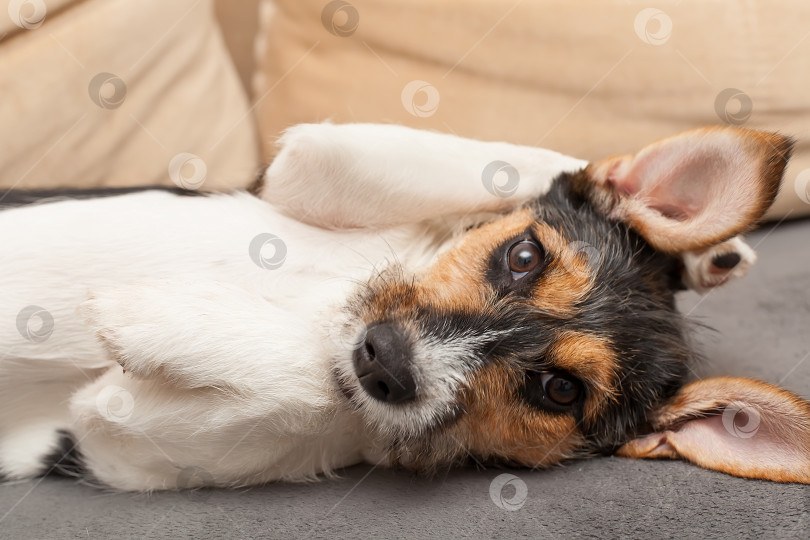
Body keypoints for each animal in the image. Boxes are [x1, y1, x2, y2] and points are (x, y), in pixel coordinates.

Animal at [0, 123, 804, 490]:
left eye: (559, 390)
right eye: (523, 258)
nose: (381, 357)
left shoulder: (113, 438)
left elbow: (307, 384)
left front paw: (148, 318)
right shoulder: (312, 163)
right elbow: (530, 158)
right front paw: (700, 254)